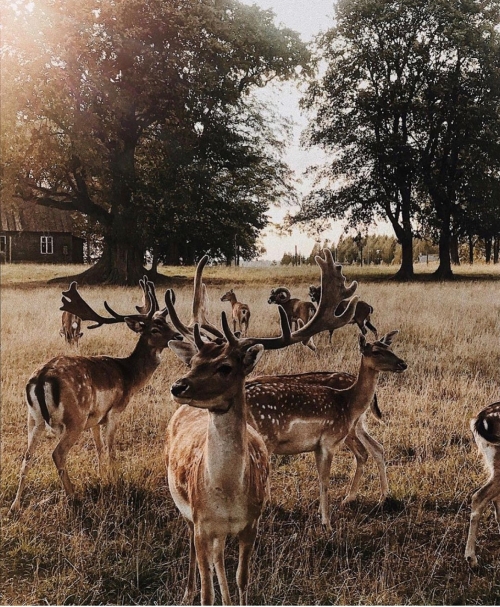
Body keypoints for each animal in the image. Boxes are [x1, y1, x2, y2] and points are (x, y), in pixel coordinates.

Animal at [9, 280, 182, 512]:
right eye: (155, 328)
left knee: (27, 456)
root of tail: (41, 378)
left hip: (33, 418)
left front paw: (103, 478)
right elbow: (110, 449)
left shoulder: (95, 419)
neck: (129, 376)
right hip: (75, 418)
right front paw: (116, 481)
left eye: (167, 322)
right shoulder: (115, 410)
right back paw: (73, 496)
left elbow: (99, 449)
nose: (178, 336)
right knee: (57, 453)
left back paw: (15, 505)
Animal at [165, 251, 360, 604]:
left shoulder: (250, 523)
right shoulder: (202, 523)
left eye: (225, 367)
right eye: (194, 361)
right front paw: (200, 593)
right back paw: (186, 590)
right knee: (195, 549)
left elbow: (242, 578)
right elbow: (206, 590)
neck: (227, 494)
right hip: (187, 512)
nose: (178, 386)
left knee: (218, 559)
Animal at [246, 332, 406, 532]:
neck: (348, 402)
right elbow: (325, 481)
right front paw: (328, 524)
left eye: (389, 347)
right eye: (376, 351)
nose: (402, 363)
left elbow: (322, 480)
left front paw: (322, 518)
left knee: (374, 448)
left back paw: (379, 497)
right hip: (265, 439)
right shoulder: (329, 441)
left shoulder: (318, 445)